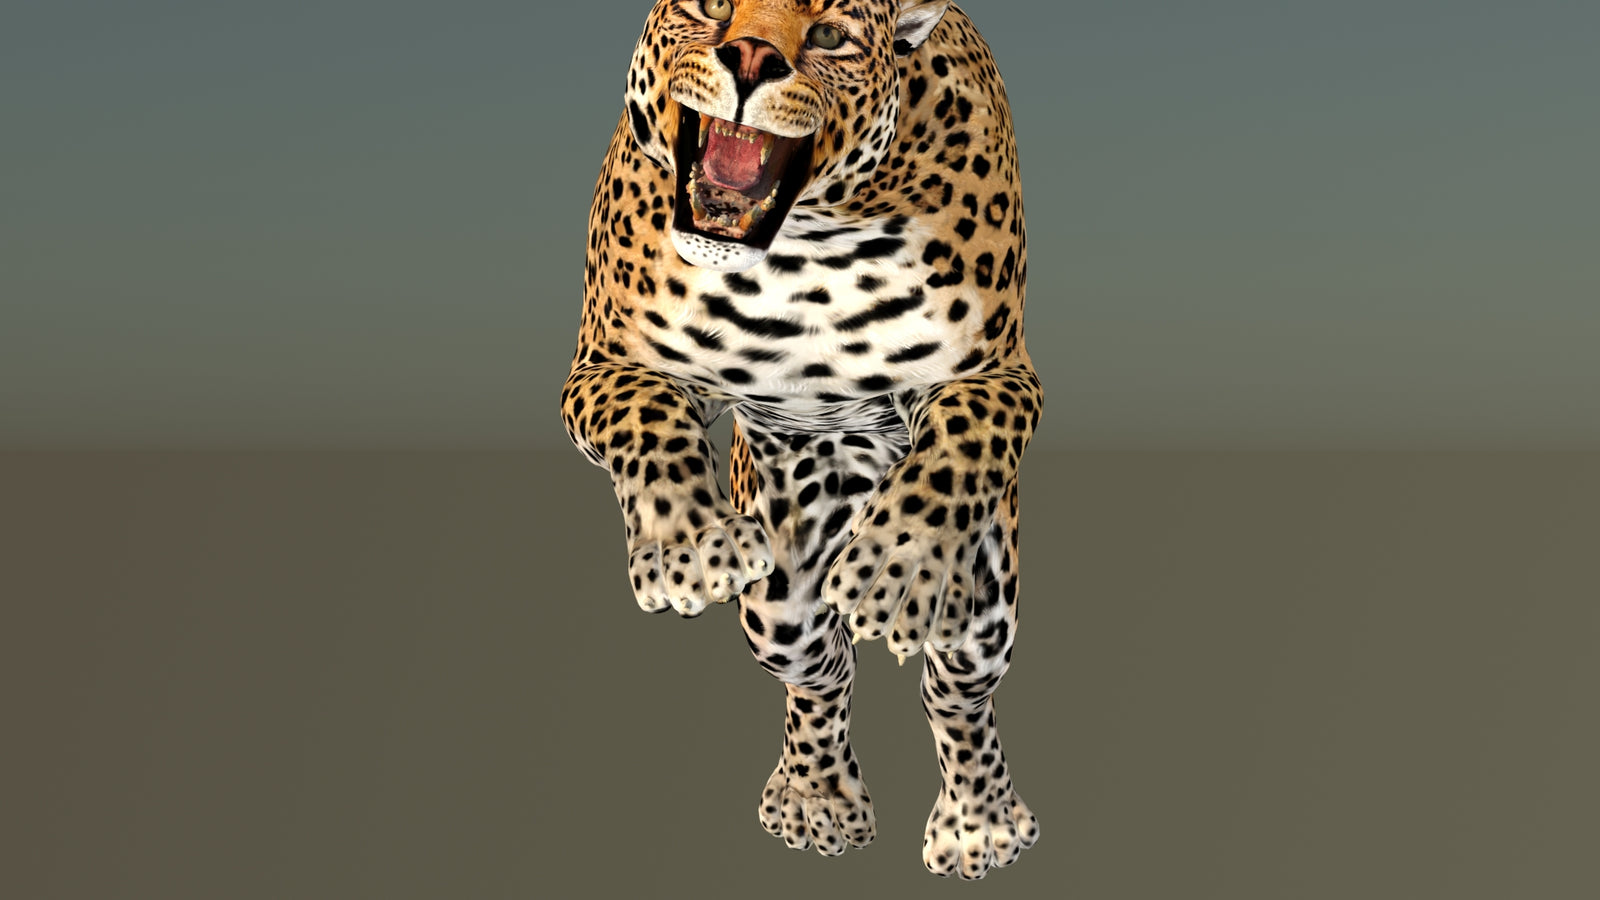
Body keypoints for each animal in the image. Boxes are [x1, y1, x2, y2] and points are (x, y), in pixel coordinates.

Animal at [559, 0, 1042, 879]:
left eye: (829, 37)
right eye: (714, 7)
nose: (750, 58)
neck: (803, 247)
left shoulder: (998, 378)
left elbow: (953, 449)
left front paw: (896, 567)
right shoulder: (605, 364)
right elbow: (648, 419)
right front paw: (690, 547)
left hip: (986, 603)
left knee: (958, 688)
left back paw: (979, 822)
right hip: (780, 601)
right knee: (820, 672)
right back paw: (816, 798)